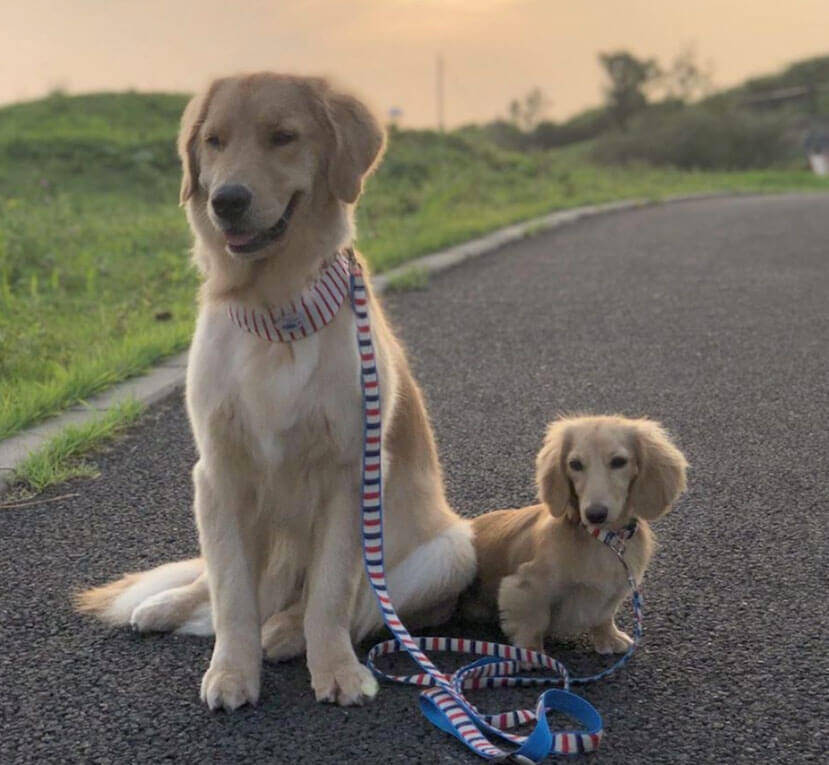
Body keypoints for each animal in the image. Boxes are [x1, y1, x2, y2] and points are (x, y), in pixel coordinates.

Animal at [466, 414, 684, 652]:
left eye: (619, 461)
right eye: (575, 464)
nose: (595, 514)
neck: (601, 538)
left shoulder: (615, 588)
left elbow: (604, 616)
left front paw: (609, 637)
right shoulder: (524, 586)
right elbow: (533, 624)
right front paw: (532, 653)